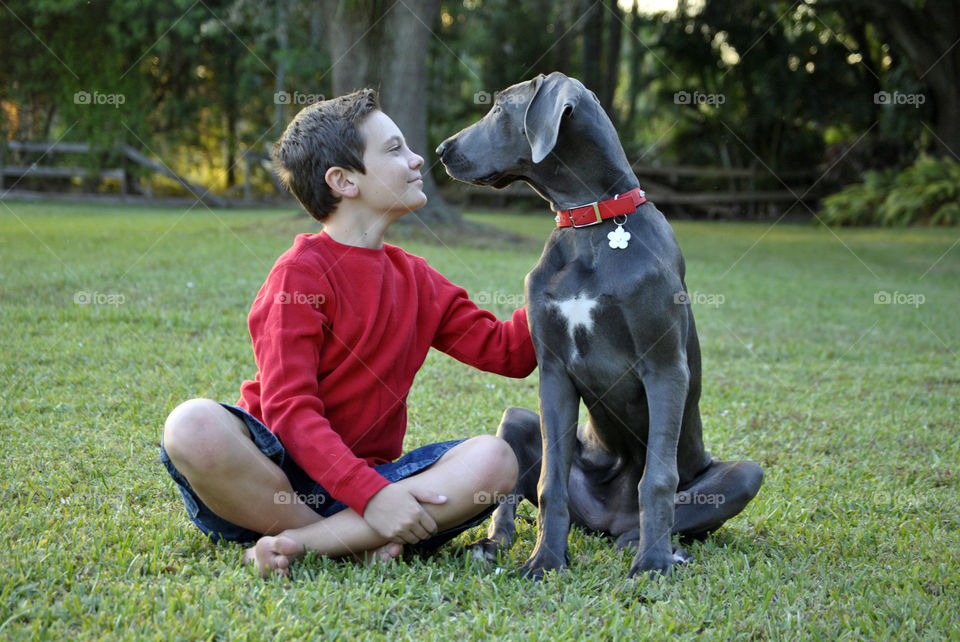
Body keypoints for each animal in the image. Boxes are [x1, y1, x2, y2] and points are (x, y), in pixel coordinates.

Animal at [436, 72, 764, 576]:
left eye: (498, 109)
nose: (440, 149)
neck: (591, 224)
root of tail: (604, 522)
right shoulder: (553, 370)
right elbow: (550, 483)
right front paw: (545, 561)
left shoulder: (665, 368)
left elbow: (658, 479)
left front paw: (653, 565)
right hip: (519, 420)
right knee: (513, 485)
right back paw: (493, 543)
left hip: (744, 474)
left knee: (692, 499)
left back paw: (652, 545)